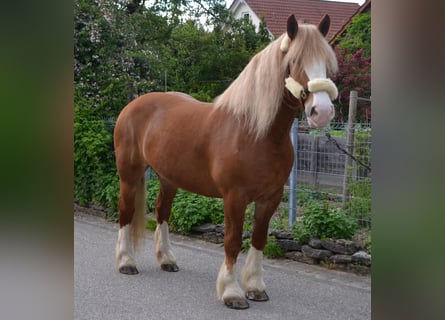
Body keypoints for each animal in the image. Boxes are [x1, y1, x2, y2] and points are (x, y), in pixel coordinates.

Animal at [113, 13, 336, 308]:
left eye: (327, 63)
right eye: (296, 61)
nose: (322, 111)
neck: (255, 133)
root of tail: (132, 106)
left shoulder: (271, 197)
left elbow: (259, 239)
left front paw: (255, 287)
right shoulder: (234, 197)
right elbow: (232, 241)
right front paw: (232, 292)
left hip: (169, 179)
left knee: (162, 212)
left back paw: (167, 260)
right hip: (129, 174)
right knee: (126, 212)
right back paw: (126, 262)